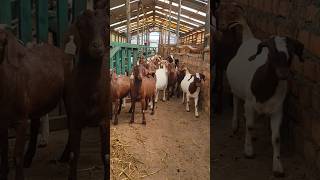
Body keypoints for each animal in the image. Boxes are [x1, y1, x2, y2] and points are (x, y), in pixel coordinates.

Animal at [0, 25, 72, 179]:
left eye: (2, 41)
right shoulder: (1, 123)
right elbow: (3, 154)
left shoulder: (21, 121)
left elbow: (17, 156)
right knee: (35, 125)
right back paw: (29, 158)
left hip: (69, 94)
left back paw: (64, 156)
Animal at [226, 35, 304, 177]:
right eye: (271, 52)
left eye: (291, 53)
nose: (283, 74)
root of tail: (250, 39)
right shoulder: (249, 104)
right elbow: (250, 126)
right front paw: (248, 151)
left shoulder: (278, 110)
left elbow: (276, 137)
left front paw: (278, 165)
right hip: (235, 89)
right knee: (235, 101)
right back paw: (235, 125)